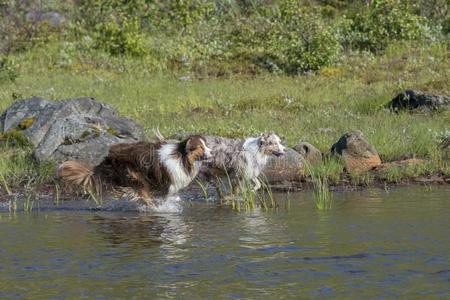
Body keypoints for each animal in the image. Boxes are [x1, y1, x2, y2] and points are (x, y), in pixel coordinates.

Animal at [56, 135, 211, 206]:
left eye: (206, 145)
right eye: (200, 147)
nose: (212, 152)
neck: (181, 156)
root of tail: (104, 162)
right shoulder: (164, 183)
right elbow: (163, 196)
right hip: (133, 175)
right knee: (142, 192)